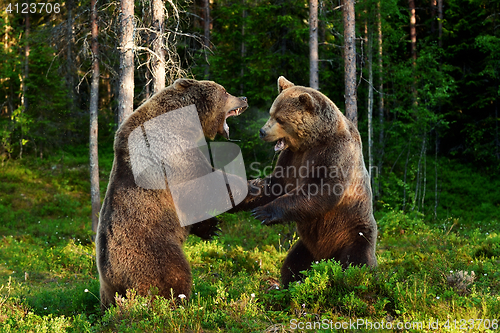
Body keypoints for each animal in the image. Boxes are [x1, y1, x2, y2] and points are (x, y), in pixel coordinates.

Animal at [94, 78, 247, 308]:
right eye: (225, 91)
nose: (244, 98)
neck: (185, 125)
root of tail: (114, 278)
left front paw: (211, 228)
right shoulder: (172, 154)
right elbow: (204, 184)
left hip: (108, 292)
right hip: (152, 252)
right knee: (174, 275)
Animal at [240, 76, 376, 286]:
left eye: (280, 119)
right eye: (271, 113)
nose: (262, 131)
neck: (312, 141)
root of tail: (326, 257)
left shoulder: (335, 153)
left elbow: (322, 191)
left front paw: (263, 212)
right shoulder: (292, 157)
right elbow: (275, 184)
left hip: (354, 232)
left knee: (357, 263)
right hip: (307, 246)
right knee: (294, 261)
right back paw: (287, 284)